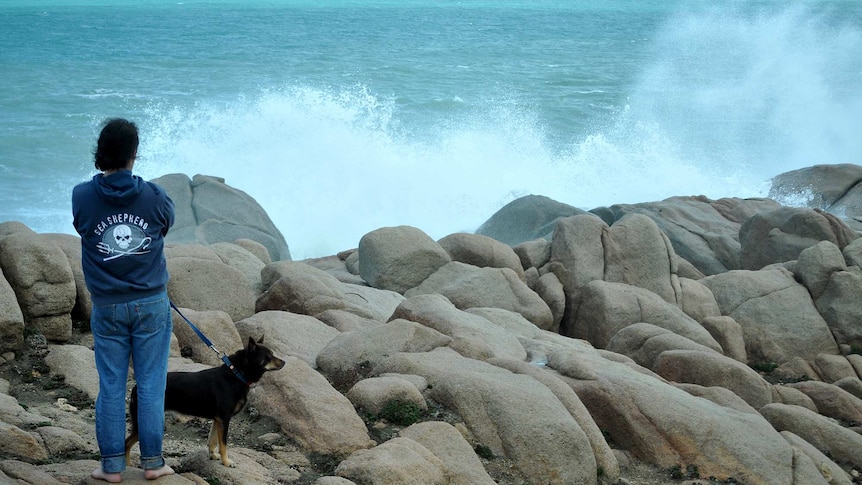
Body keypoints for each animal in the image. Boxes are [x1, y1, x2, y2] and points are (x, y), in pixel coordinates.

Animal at [125, 336, 286, 466]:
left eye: (272, 354)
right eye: (268, 356)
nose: (284, 362)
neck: (236, 374)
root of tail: (135, 388)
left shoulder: (217, 420)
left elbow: (212, 440)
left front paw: (213, 455)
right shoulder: (224, 419)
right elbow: (223, 444)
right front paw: (226, 462)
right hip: (142, 423)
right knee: (126, 443)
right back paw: (128, 466)